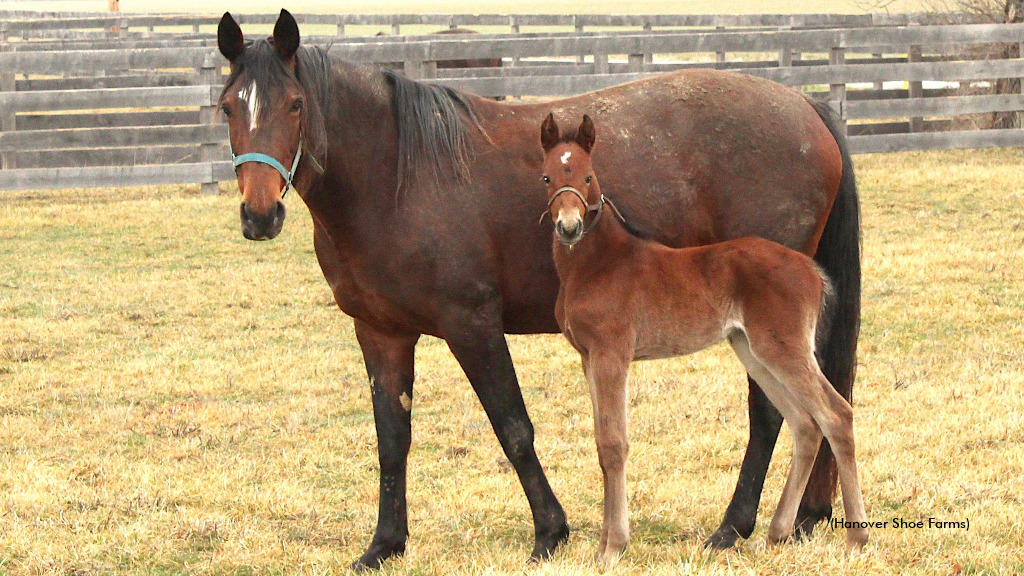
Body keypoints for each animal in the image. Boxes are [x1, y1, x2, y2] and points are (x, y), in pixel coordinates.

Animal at [540, 113, 868, 566]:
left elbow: (614, 443)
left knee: (836, 414)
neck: (597, 263)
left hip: (783, 349)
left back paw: (856, 539)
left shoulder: (612, 353)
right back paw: (777, 533)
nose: (568, 227)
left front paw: (613, 548)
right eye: (548, 176)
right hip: (754, 351)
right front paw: (606, 543)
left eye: (588, 176)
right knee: (805, 424)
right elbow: (601, 442)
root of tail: (812, 271)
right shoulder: (588, 357)